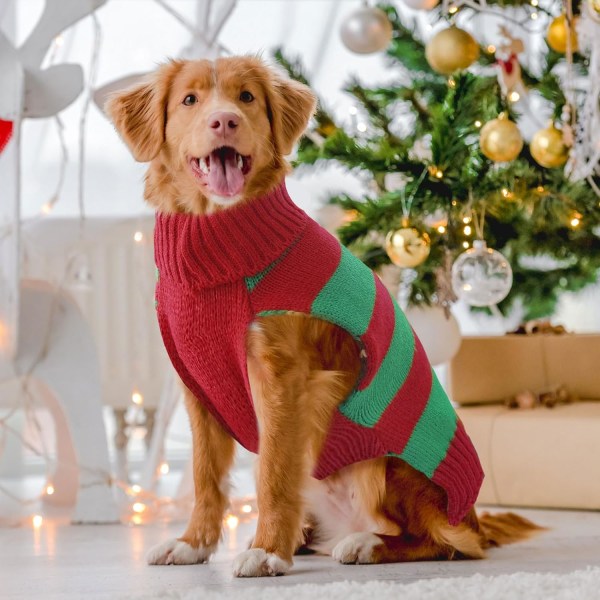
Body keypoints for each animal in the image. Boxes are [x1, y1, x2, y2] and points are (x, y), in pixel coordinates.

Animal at [105, 55, 540, 576]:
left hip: (388, 462)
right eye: (190, 100)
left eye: (246, 97)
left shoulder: (284, 378)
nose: (224, 120)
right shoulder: (199, 388)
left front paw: (267, 550)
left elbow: (271, 473)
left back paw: (366, 544)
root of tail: (474, 519)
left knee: (442, 540)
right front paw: (194, 544)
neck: (219, 244)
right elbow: (204, 475)